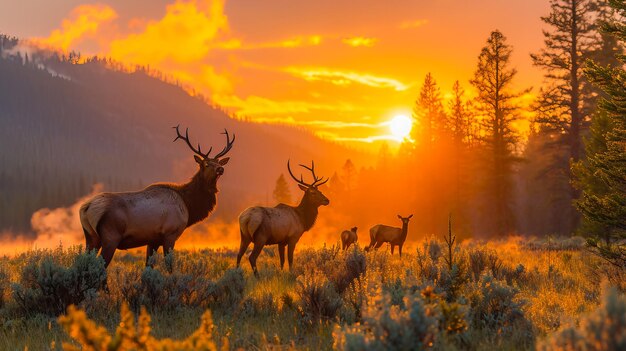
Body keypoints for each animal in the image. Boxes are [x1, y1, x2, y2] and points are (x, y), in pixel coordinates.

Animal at [78, 126, 234, 270]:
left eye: (219, 162)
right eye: (206, 164)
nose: (221, 169)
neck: (188, 205)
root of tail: (86, 207)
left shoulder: (152, 239)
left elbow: (148, 266)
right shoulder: (170, 234)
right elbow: (169, 266)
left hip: (91, 238)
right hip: (111, 236)